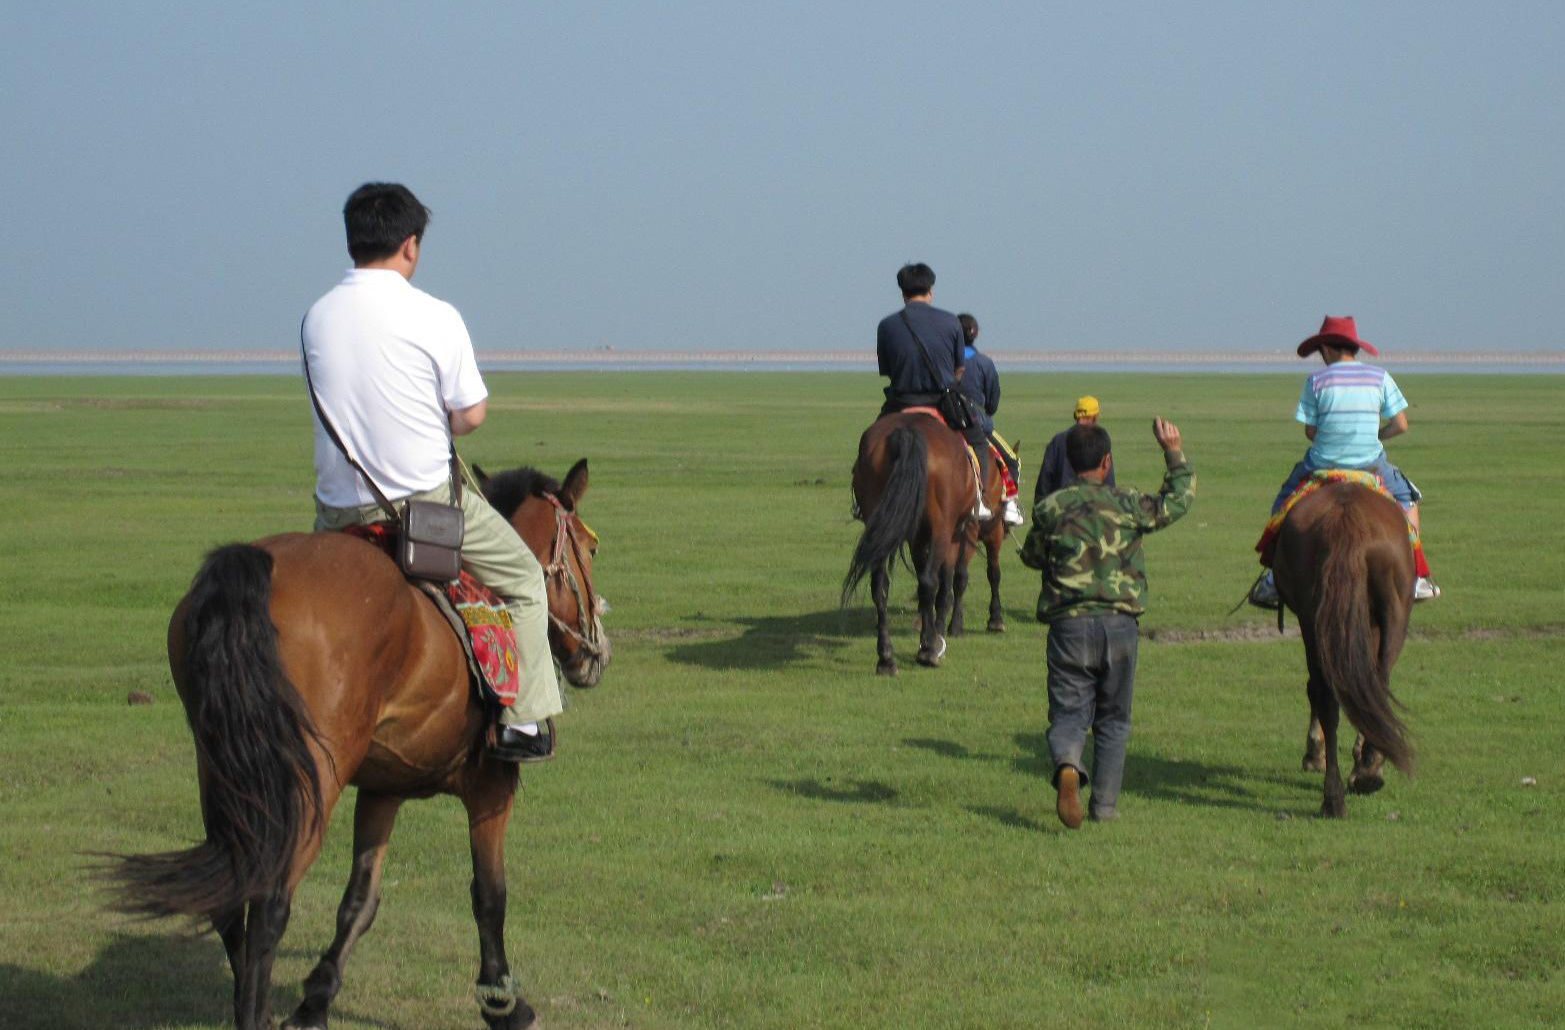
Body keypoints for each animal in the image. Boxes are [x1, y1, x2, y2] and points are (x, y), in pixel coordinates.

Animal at [110, 460, 607, 1026]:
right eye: (591, 548)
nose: (595, 651)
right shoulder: (492, 787)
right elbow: (489, 894)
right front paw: (504, 1002)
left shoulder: (381, 791)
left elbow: (360, 901)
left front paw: (315, 1001)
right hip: (308, 781)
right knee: (269, 902)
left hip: (221, 769)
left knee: (230, 894)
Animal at [845, 410, 989, 673]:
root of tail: (907, 432)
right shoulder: (953, 533)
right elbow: (946, 584)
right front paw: (937, 636)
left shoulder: (917, 538)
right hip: (943, 530)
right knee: (929, 582)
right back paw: (929, 651)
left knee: (880, 586)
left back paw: (886, 658)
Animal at [1277, 475, 1414, 813]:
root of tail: (1346, 520)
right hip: (1392, 615)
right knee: (1367, 686)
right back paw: (1363, 775)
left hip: (1317, 617)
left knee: (1331, 692)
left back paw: (1337, 794)